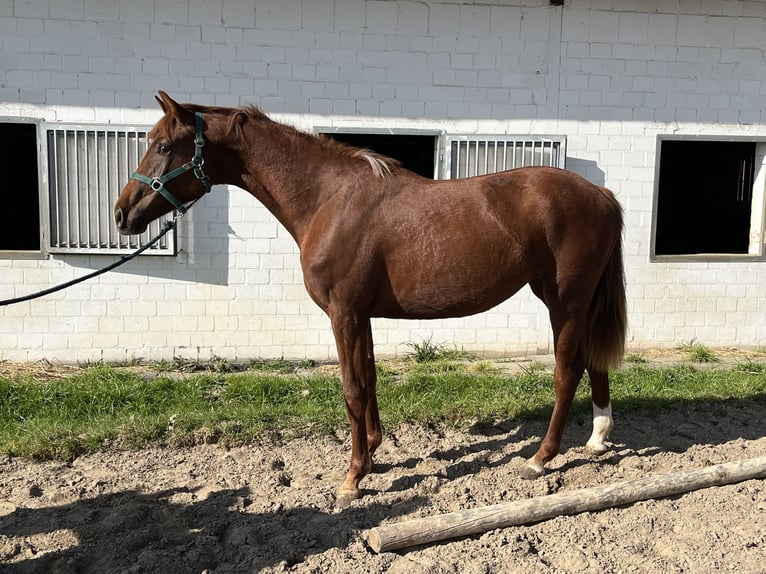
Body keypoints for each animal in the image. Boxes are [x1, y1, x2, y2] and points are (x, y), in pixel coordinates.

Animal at [115, 92, 632, 506]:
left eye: (163, 146)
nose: (122, 215)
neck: (329, 199)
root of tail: (601, 193)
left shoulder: (342, 313)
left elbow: (352, 388)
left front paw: (352, 478)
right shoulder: (360, 314)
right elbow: (369, 378)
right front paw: (375, 451)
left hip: (565, 302)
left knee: (567, 372)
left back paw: (541, 458)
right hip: (569, 300)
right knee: (593, 363)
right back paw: (598, 438)